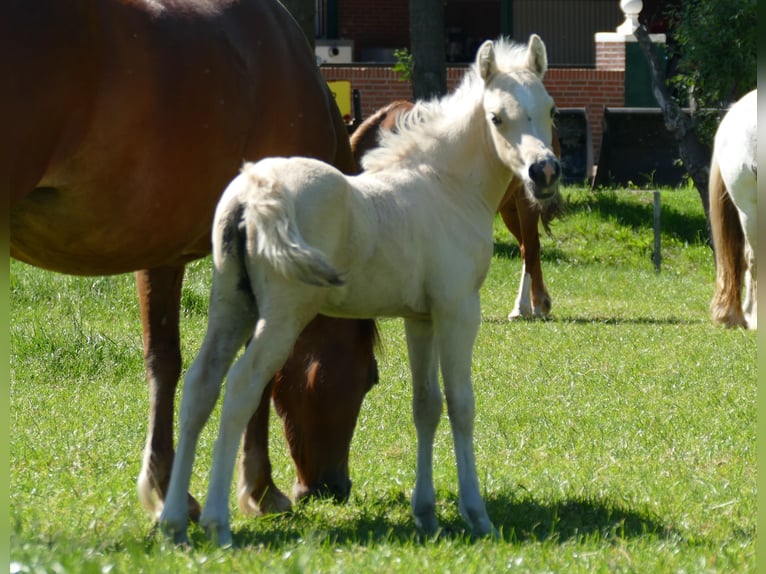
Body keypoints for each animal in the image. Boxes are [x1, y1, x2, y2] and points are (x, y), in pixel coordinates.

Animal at [8, 0, 378, 521]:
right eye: (370, 378)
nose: (334, 486)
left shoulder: (160, 250)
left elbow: (163, 362)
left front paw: (168, 489)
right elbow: (258, 374)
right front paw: (261, 488)